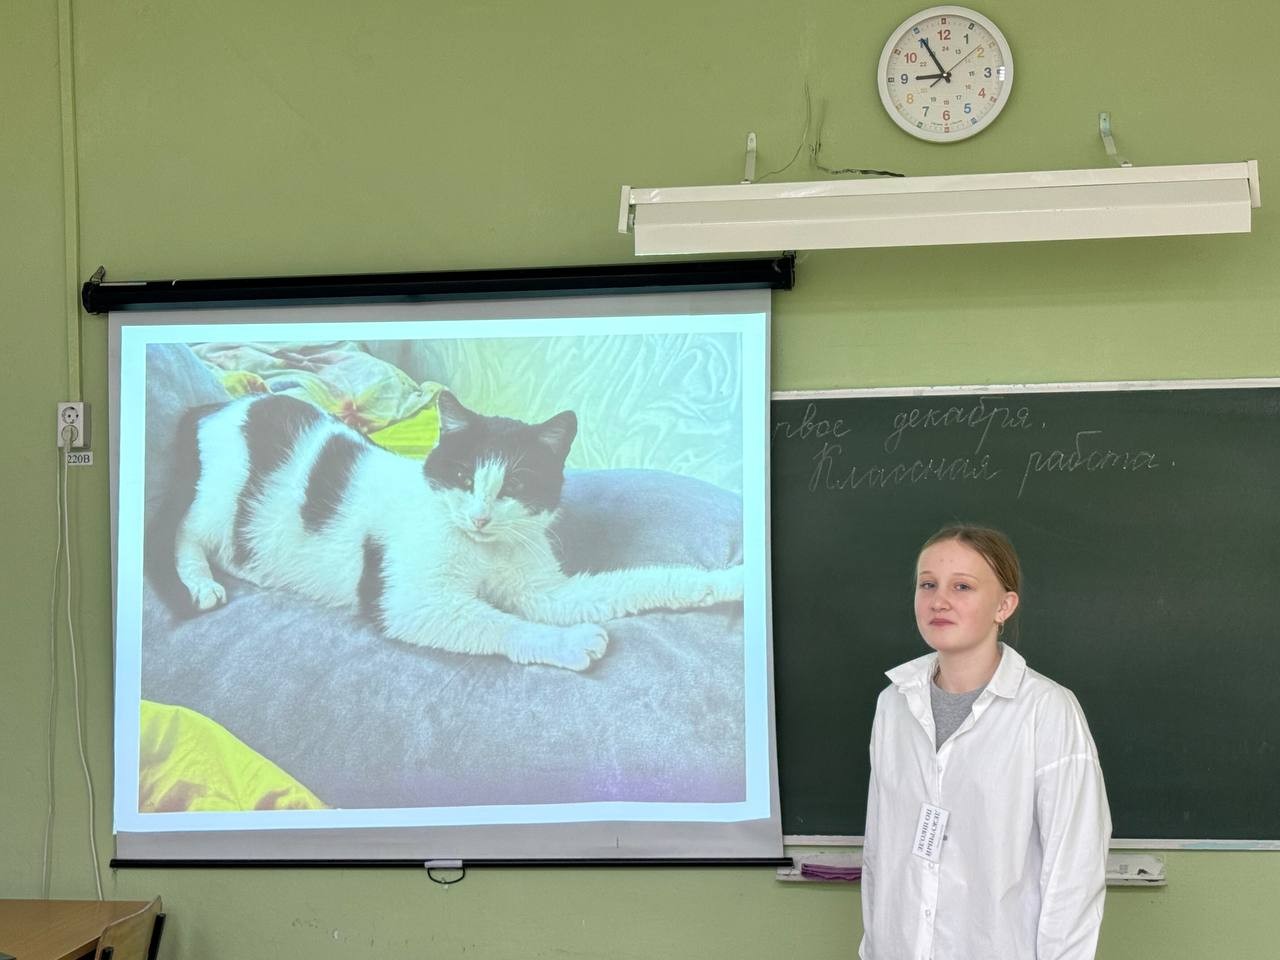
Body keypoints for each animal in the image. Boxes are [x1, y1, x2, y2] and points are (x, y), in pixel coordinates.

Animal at [151, 390, 743, 670]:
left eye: (516, 484)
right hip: (218, 497)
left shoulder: (547, 592)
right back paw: (200, 582)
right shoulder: (413, 602)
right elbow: (498, 623)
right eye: (462, 476)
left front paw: (733, 581)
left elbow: (645, 581)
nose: (479, 516)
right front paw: (568, 643)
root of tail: (219, 406)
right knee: (183, 534)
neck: (483, 551)